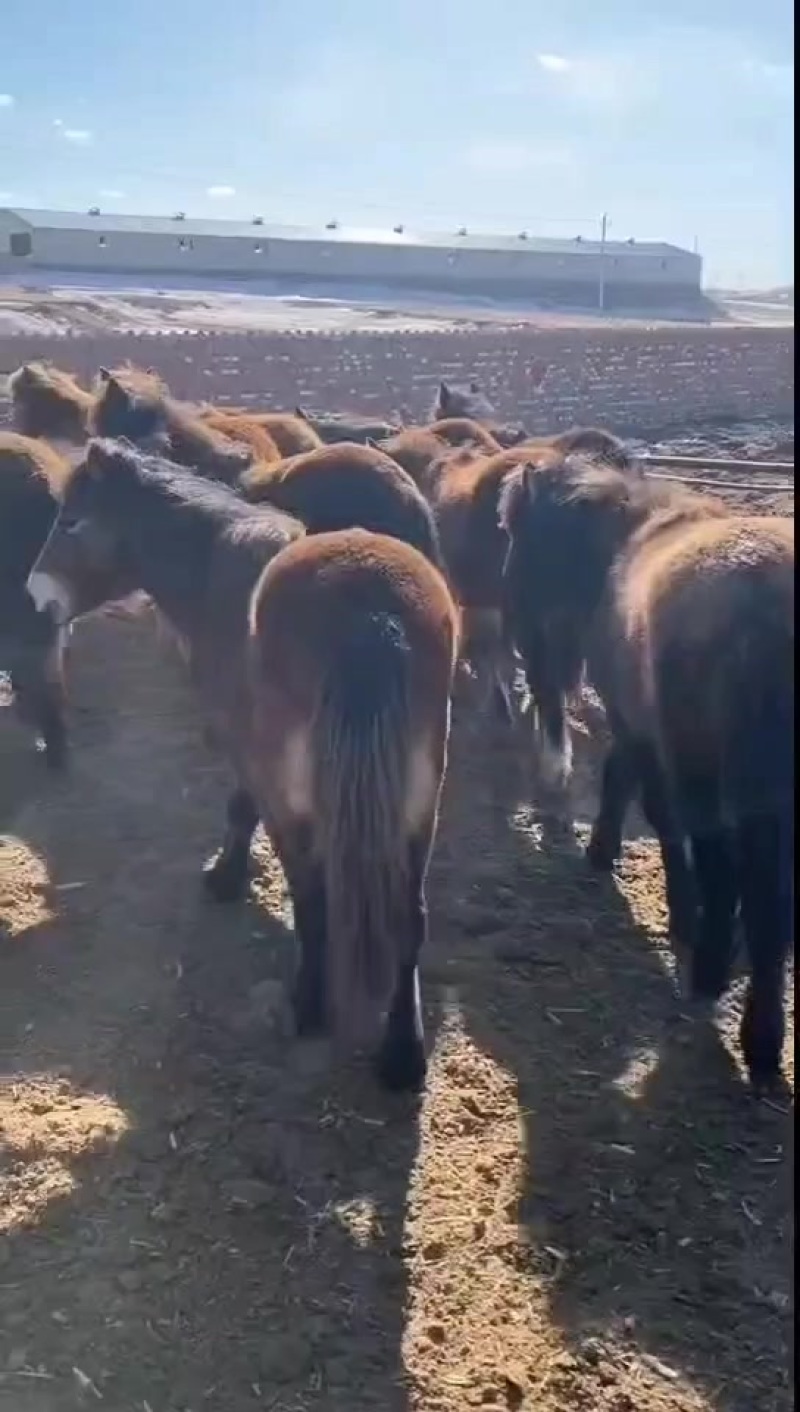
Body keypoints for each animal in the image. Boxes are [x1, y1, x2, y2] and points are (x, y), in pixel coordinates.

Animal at [500, 452, 794, 1090]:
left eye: (515, 534)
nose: (511, 623)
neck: (626, 541)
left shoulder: (639, 727)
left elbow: (652, 806)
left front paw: (678, 910)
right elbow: (623, 780)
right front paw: (603, 848)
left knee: (739, 882)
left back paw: (722, 989)